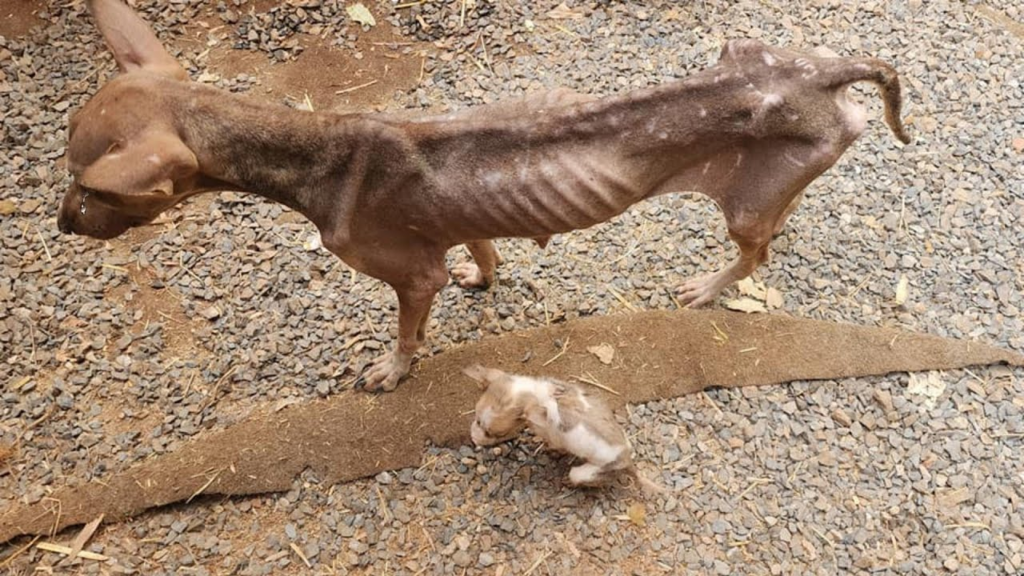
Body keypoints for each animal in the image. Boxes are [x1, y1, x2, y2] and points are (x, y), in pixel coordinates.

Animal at [464, 362, 663, 487]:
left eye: (495, 434)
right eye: (476, 419)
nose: (473, 439)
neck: (535, 392)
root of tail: (627, 460)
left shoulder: (553, 435)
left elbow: (554, 443)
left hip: (584, 472)